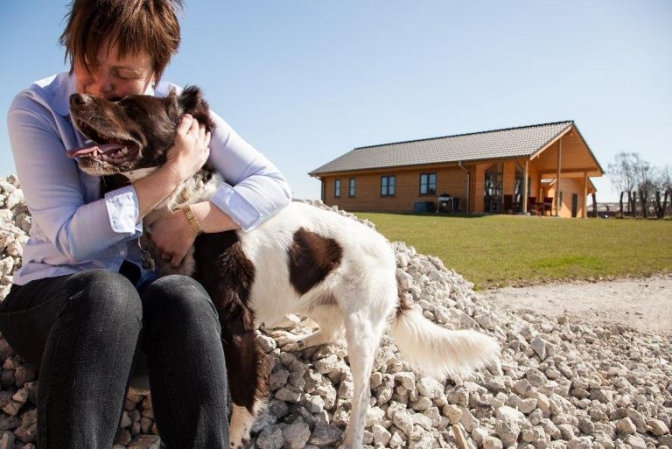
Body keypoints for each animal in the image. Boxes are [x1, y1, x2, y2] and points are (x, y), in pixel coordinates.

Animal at [67, 86, 498, 446]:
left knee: (361, 394)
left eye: (132, 107)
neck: (184, 200)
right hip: (311, 295)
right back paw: (300, 342)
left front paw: (236, 436)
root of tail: (391, 256)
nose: (75, 97)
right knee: (330, 330)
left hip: (363, 327)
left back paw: (352, 437)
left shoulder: (236, 322)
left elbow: (242, 396)